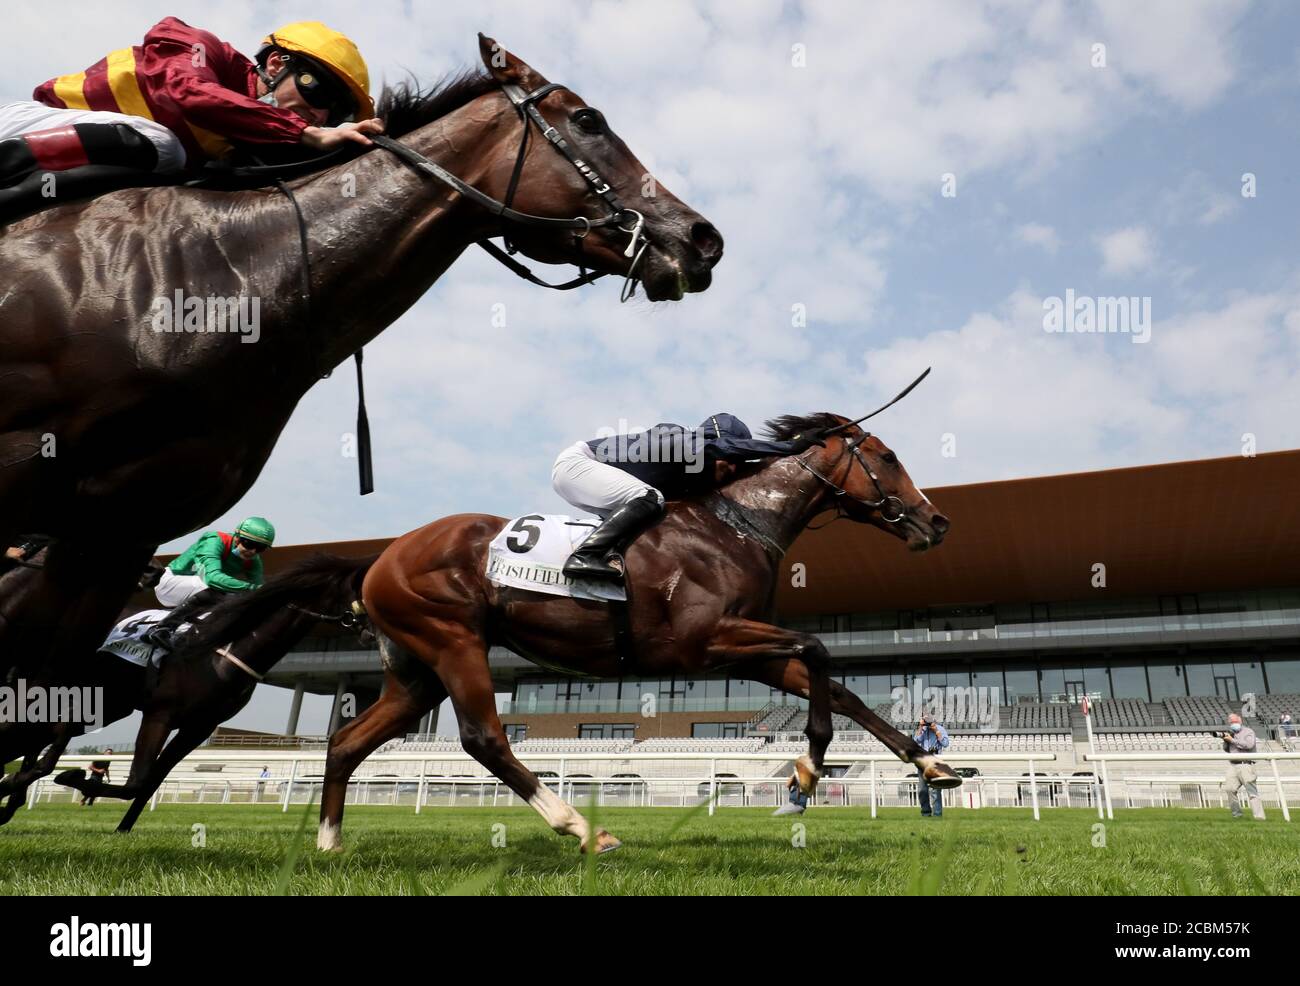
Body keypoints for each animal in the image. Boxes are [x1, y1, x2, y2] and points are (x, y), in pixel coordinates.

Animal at [5, 556, 371, 827]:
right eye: (364, 584)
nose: (374, 631)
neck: (222, 651)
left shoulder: (199, 727)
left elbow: (149, 782)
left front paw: (122, 827)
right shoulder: (160, 713)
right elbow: (136, 780)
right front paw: (71, 776)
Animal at [305, 416, 956, 858]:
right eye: (888, 456)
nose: (937, 521)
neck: (735, 526)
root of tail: (381, 558)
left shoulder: (744, 653)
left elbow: (839, 687)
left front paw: (929, 763)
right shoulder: (705, 641)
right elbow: (818, 650)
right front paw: (806, 771)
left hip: (417, 674)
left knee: (346, 742)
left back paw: (330, 842)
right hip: (452, 641)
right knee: (484, 739)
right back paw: (583, 828)